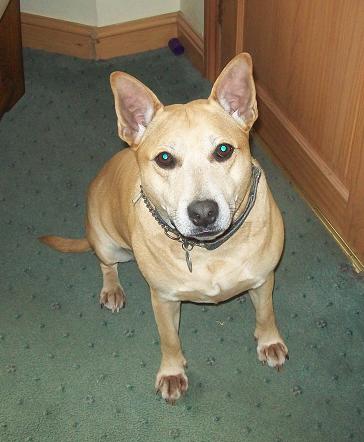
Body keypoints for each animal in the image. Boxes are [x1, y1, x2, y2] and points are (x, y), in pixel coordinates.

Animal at [39, 53, 288, 402]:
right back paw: (112, 288)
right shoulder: (164, 298)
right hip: (105, 241)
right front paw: (172, 371)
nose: (203, 213)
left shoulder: (264, 279)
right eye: (165, 159)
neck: (210, 252)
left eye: (223, 150)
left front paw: (269, 340)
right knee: (106, 265)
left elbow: (266, 313)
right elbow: (170, 339)